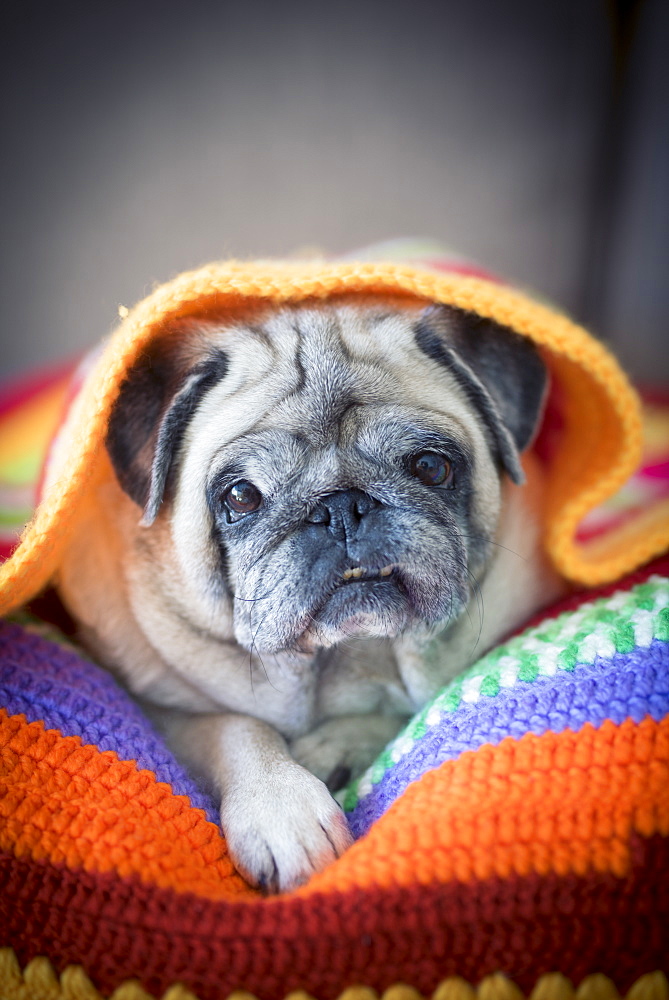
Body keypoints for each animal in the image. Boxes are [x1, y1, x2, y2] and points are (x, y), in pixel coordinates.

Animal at [56, 294, 564, 892]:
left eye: (430, 466)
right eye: (242, 496)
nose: (341, 506)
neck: (348, 656)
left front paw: (333, 746)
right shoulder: (154, 707)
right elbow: (235, 726)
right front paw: (281, 805)